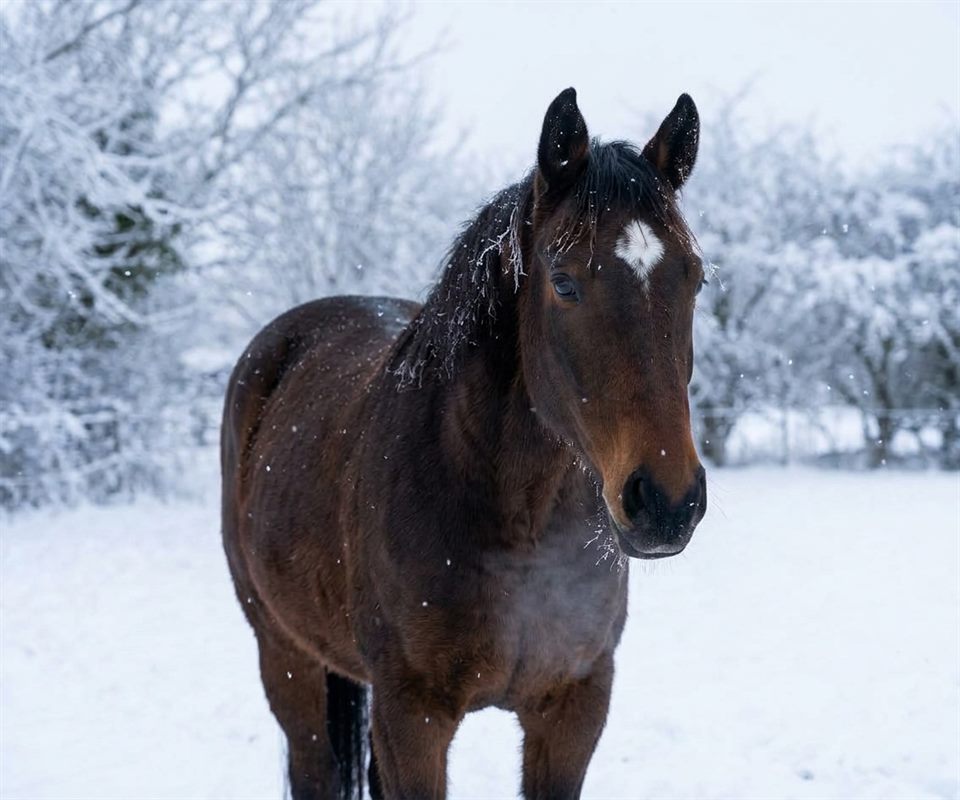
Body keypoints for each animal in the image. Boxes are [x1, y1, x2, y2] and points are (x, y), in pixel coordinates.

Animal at [221, 87, 707, 800]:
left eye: (695, 278)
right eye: (564, 282)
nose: (667, 503)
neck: (521, 523)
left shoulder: (575, 707)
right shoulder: (412, 717)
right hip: (284, 656)